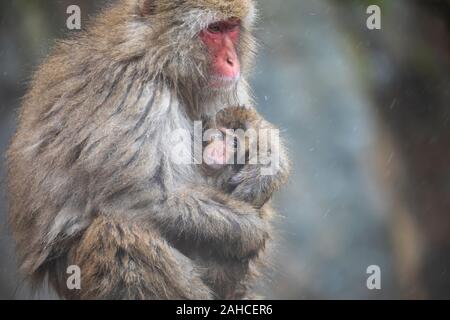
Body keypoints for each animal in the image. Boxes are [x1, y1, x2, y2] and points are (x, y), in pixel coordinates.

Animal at [7, 0, 292, 300]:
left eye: (232, 27)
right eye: (214, 29)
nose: (231, 61)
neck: (157, 59)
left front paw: (268, 157)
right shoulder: (136, 94)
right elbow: (146, 198)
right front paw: (252, 230)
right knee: (117, 233)